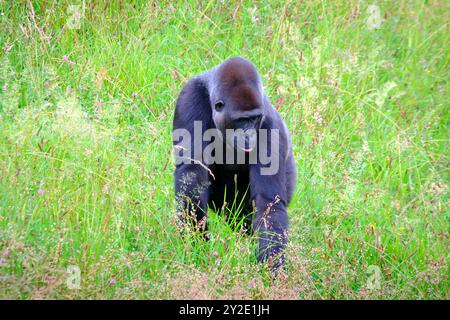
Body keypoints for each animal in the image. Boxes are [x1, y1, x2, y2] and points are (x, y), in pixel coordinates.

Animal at [171, 57, 296, 270]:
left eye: (254, 119)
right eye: (241, 120)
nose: (249, 135)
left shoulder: (269, 125)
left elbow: (269, 203)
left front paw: (272, 267)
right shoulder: (190, 98)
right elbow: (191, 173)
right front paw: (196, 241)